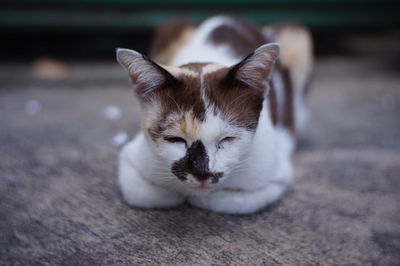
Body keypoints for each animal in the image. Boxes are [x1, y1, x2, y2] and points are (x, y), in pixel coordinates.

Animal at [115, 15, 312, 214]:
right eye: (175, 139)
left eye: (228, 138)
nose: (202, 173)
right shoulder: (132, 159)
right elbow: (146, 194)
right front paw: (178, 194)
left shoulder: (276, 173)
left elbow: (234, 201)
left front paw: (197, 198)